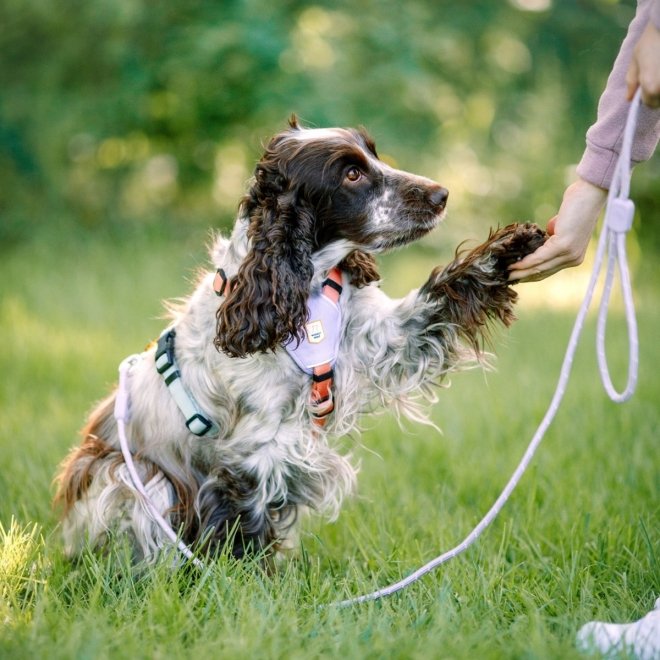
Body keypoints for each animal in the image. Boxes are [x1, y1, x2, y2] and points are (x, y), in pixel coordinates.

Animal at [54, 117, 548, 564]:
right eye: (351, 174)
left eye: (373, 155)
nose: (440, 194)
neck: (302, 289)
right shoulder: (252, 451)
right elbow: (245, 527)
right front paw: (251, 584)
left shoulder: (380, 340)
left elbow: (439, 296)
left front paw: (509, 249)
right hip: (130, 476)